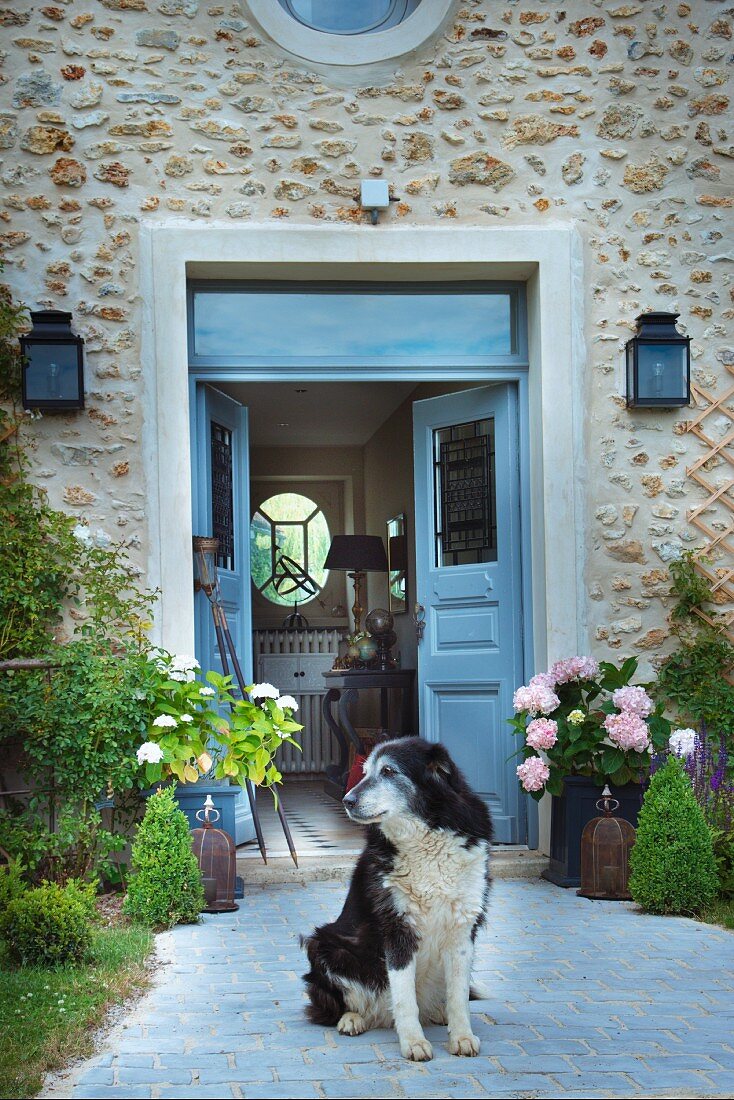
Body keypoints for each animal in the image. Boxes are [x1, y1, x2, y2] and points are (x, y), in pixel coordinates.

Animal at [301, 734, 490, 1060]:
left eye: (388, 771)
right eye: (364, 772)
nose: (347, 801)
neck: (426, 835)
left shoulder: (462, 930)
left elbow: (459, 997)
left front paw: (462, 1036)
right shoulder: (398, 930)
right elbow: (404, 998)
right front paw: (413, 1042)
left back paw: (437, 1013)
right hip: (325, 945)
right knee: (339, 1004)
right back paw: (352, 1019)